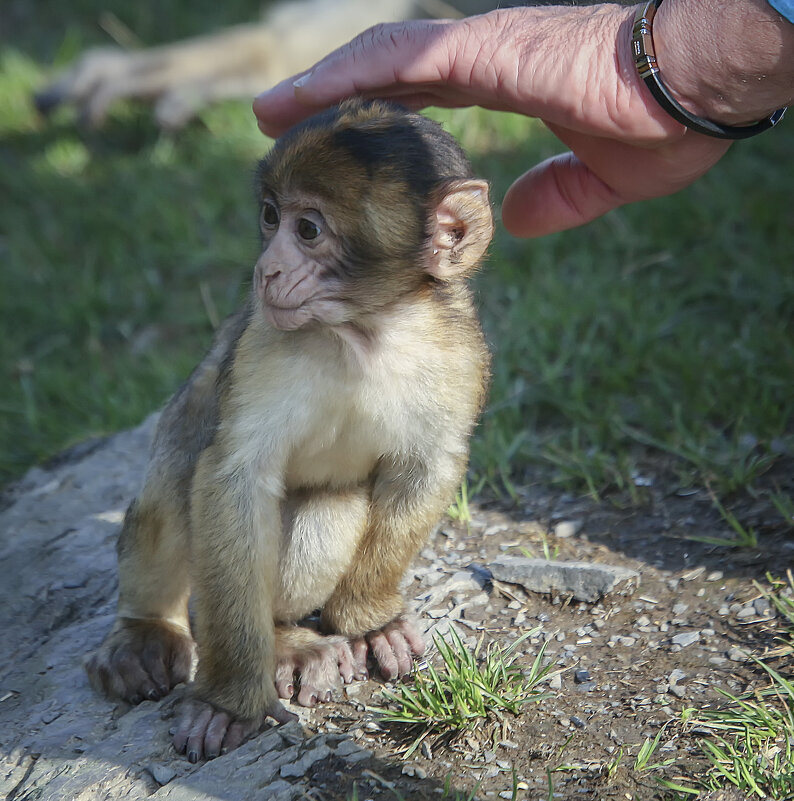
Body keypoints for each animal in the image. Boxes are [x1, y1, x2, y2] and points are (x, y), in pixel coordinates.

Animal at [89, 98, 492, 756]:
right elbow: (233, 476)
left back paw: (286, 634)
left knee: (329, 511)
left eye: (308, 230)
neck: (364, 332)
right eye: (270, 215)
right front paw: (229, 700)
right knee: (179, 458)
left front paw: (371, 619)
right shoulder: (262, 342)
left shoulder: (459, 354)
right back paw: (160, 630)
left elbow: (429, 463)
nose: (266, 269)